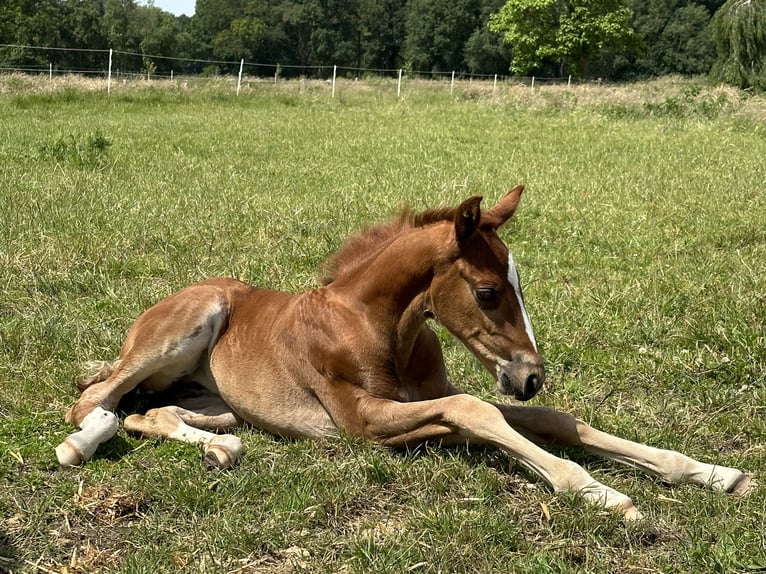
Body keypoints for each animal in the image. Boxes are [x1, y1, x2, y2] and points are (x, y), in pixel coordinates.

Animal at [57, 187, 752, 520]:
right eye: (488, 291)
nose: (530, 376)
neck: (375, 324)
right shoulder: (362, 419)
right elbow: (475, 410)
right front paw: (599, 493)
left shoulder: (425, 401)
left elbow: (550, 421)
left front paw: (708, 472)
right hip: (185, 326)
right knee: (94, 399)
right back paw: (80, 444)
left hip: (211, 397)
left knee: (153, 412)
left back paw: (221, 448)